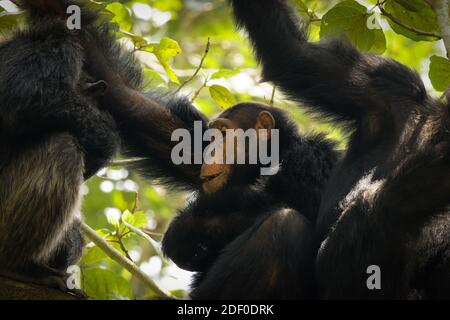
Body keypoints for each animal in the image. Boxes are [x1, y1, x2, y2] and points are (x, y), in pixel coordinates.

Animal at [81, 15, 338, 300]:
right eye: (211, 137)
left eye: (224, 133)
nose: (211, 148)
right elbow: (129, 100)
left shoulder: (311, 160)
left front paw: (187, 229)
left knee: (284, 224)